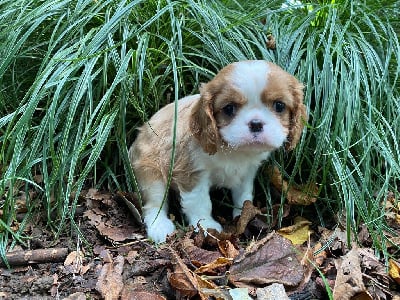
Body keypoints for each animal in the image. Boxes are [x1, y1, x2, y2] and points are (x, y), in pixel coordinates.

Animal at [128, 59, 306, 243]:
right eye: (229, 108)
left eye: (279, 106)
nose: (256, 123)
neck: (233, 150)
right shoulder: (191, 172)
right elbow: (200, 202)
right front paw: (206, 226)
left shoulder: (247, 173)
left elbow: (244, 196)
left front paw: (244, 216)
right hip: (151, 173)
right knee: (154, 204)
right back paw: (160, 227)